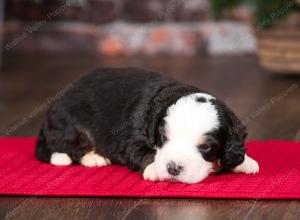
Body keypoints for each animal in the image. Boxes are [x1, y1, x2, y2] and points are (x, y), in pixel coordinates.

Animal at [35, 67, 258, 184]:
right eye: (164, 138)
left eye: (205, 147)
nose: (173, 168)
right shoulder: (134, 138)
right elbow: (144, 152)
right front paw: (154, 168)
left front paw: (245, 161)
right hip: (70, 122)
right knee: (66, 146)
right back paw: (93, 157)